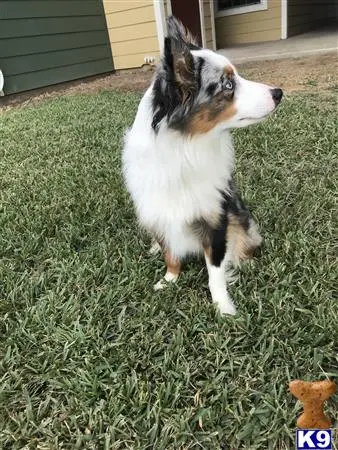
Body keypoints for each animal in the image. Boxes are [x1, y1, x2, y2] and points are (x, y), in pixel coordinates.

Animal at [121, 15, 282, 314]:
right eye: (228, 85)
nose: (279, 93)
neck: (187, 147)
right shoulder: (159, 210)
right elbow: (170, 252)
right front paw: (169, 279)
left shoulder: (216, 218)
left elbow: (215, 271)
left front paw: (223, 308)